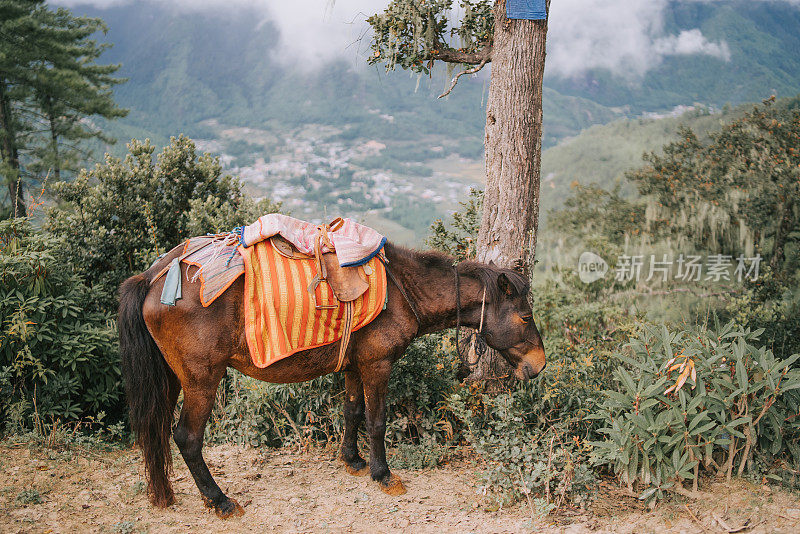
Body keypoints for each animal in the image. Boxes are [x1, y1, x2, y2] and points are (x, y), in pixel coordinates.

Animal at [117, 242, 544, 520]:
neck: (401, 291)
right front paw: (382, 474)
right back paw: (219, 500)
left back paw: (164, 492)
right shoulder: (377, 365)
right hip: (202, 381)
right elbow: (376, 421)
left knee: (157, 433)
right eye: (525, 317)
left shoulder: (355, 365)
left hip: (173, 380)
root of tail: (153, 276)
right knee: (187, 438)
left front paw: (352, 460)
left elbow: (352, 412)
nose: (539, 365)